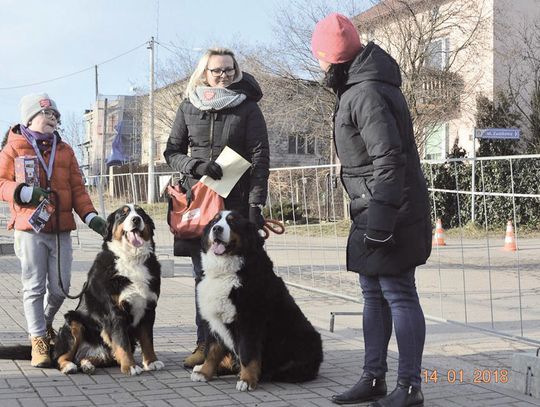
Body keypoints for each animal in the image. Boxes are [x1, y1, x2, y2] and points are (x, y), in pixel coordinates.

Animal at [52, 204, 165, 376]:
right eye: (123, 214)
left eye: (141, 213)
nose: (136, 219)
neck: (132, 260)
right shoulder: (114, 312)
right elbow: (122, 342)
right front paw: (130, 366)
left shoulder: (149, 309)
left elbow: (147, 340)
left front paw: (152, 361)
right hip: (73, 322)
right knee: (61, 357)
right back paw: (68, 366)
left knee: (84, 358)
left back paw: (87, 365)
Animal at [190, 210, 322, 392]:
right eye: (214, 221)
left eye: (233, 222)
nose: (217, 229)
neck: (226, 273)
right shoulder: (213, 320)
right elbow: (212, 351)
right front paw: (204, 372)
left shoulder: (250, 321)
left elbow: (248, 354)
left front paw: (247, 380)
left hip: (305, 340)